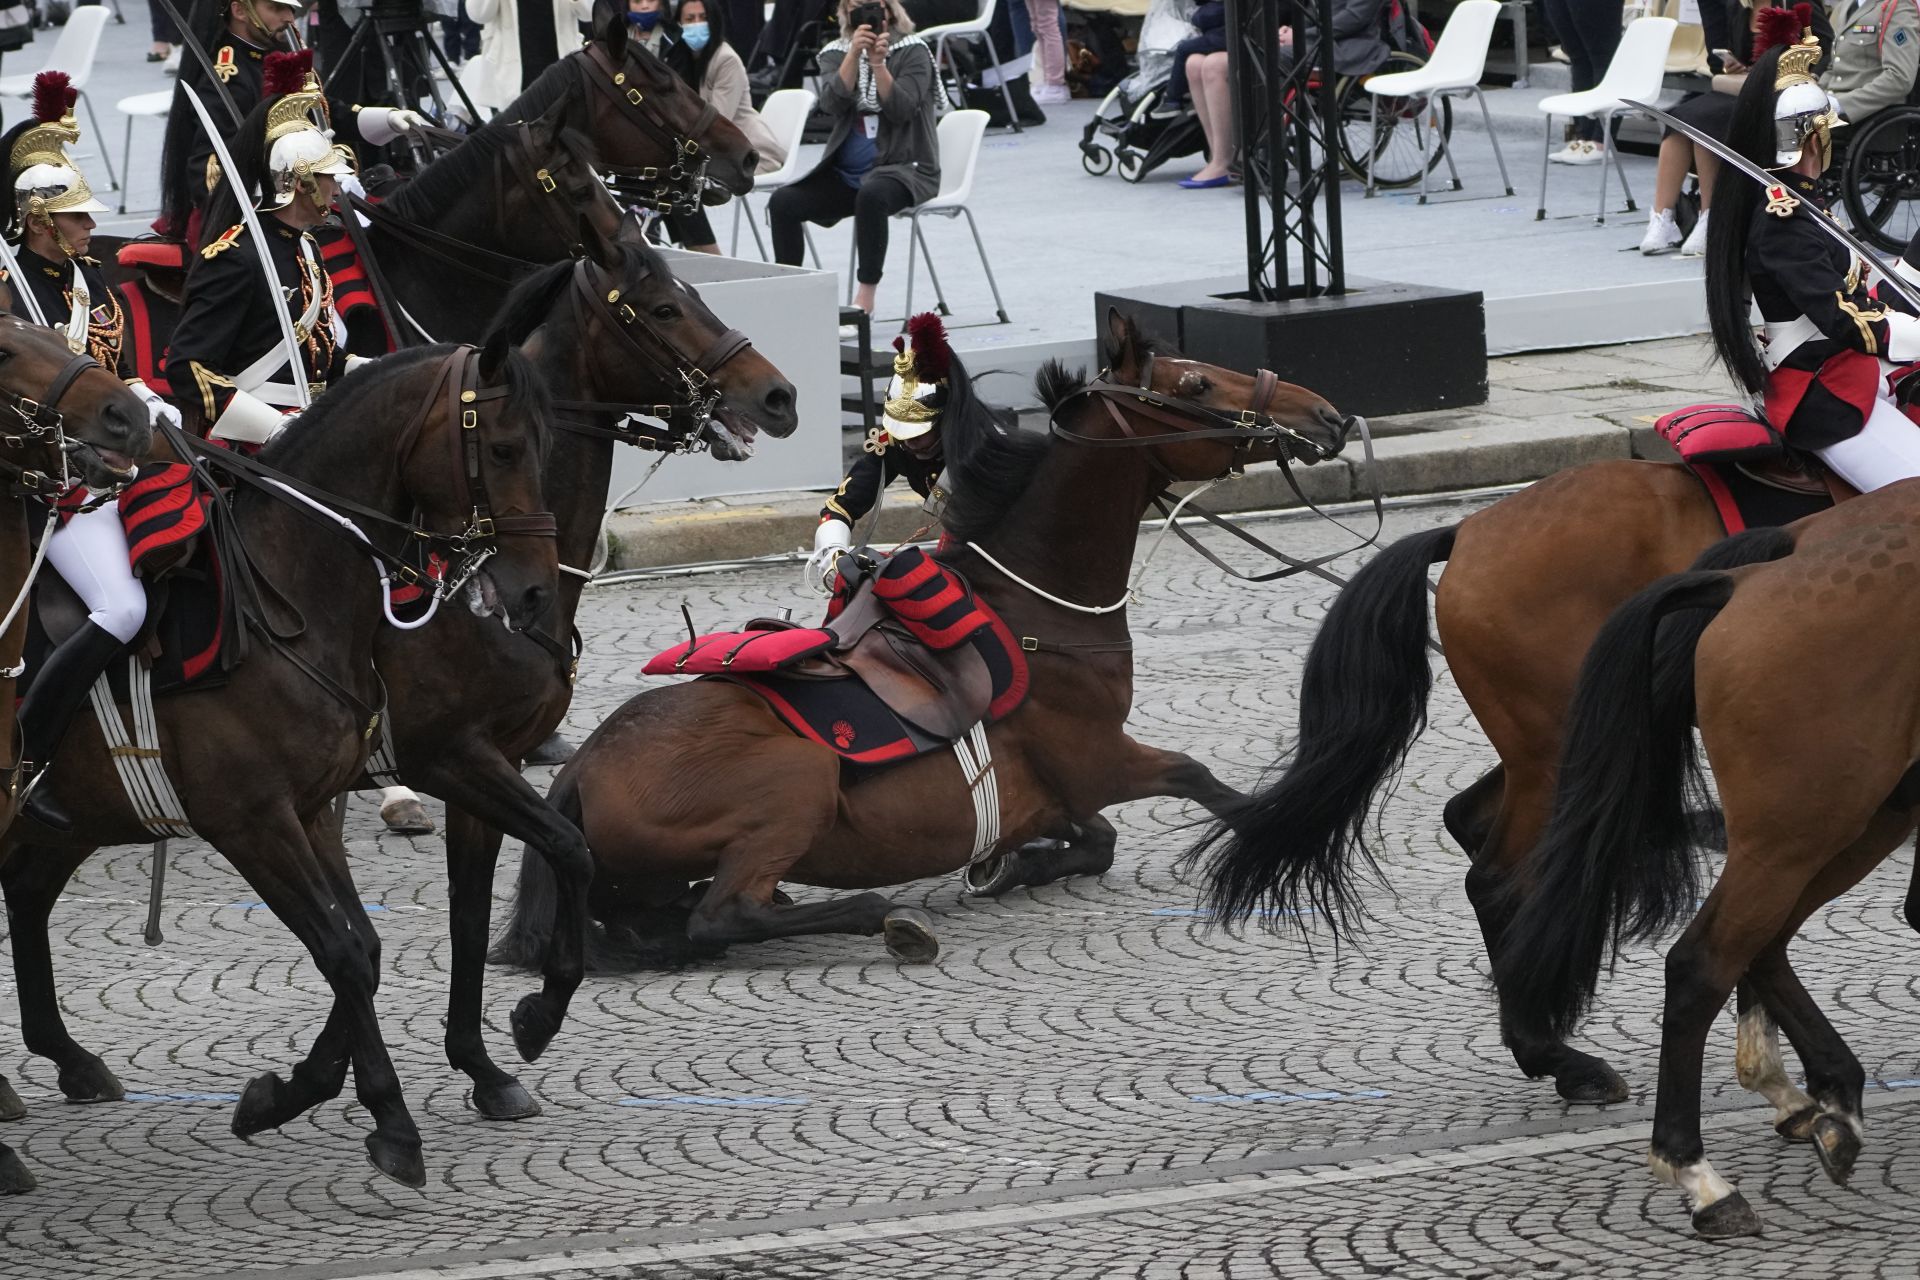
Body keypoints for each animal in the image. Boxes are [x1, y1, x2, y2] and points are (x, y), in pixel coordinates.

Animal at [0, 343, 560, 1189]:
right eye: (500, 449)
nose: (531, 591)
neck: (286, 598)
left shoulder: (311, 809)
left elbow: (365, 948)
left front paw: (295, 1094)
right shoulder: (256, 822)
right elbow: (345, 953)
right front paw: (390, 1122)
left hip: (74, 818)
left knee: (27, 891)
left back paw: (65, 1063)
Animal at [495, 310, 1359, 967]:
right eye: (1195, 385)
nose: (1327, 415)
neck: (1039, 612)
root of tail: (579, 773)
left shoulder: (1057, 792)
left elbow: (1099, 838)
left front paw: (1012, 866)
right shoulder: (1100, 759)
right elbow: (1203, 780)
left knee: (660, 925)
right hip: (798, 779)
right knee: (726, 915)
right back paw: (884, 917)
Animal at [1489, 483, 1920, 1243]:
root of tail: (1745, 581)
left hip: (1848, 820)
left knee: (1762, 945)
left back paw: (1823, 1103)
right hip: (1807, 823)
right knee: (1702, 962)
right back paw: (1700, 1174)